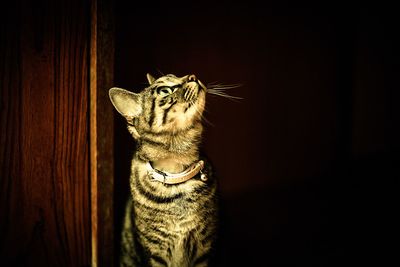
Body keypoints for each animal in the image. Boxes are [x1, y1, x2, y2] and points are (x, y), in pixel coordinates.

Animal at [109, 74, 222, 267]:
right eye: (165, 90)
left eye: (177, 76)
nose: (192, 76)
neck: (176, 173)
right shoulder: (155, 252)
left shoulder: (204, 248)